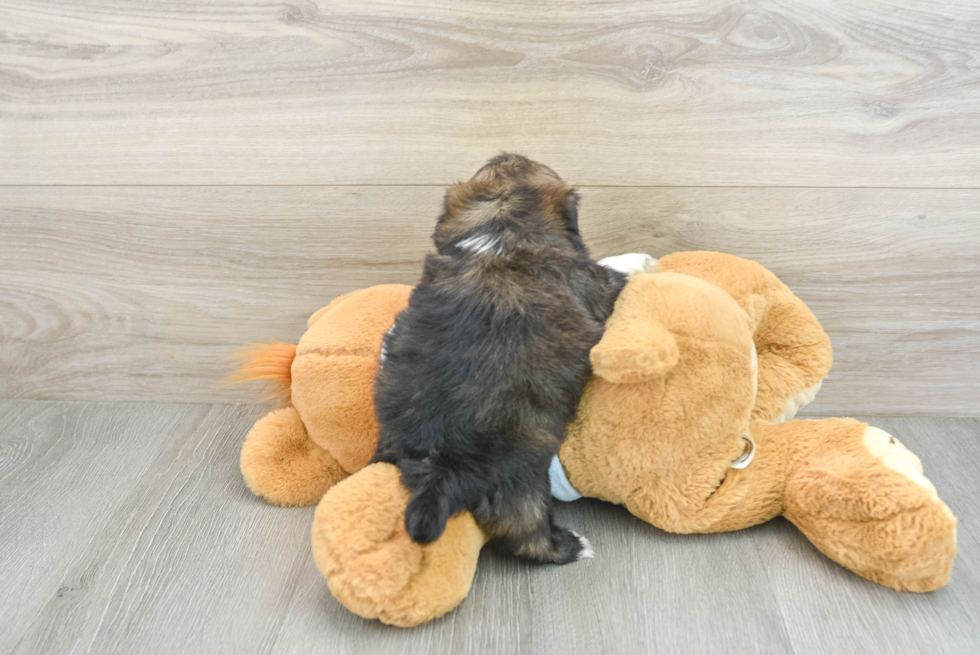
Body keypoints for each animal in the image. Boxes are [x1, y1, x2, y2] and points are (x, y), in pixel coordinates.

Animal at [372, 154, 624, 564]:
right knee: (527, 538)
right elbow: (616, 272)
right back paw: (573, 545)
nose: (506, 153)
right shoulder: (592, 283)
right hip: (520, 487)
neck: (500, 228)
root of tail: (442, 466)